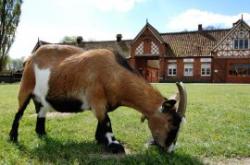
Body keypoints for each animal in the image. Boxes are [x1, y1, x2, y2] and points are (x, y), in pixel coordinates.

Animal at [8, 44, 187, 153]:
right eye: (172, 123)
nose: (170, 150)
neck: (114, 73)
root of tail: (30, 58)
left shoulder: (103, 104)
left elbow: (101, 121)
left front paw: (100, 140)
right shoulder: (97, 98)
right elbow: (107, 121)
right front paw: (114, 145)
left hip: (42, 97)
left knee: (41, 112)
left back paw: (42, 133)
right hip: (26, 86)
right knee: (18, 113)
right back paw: (13, 138)